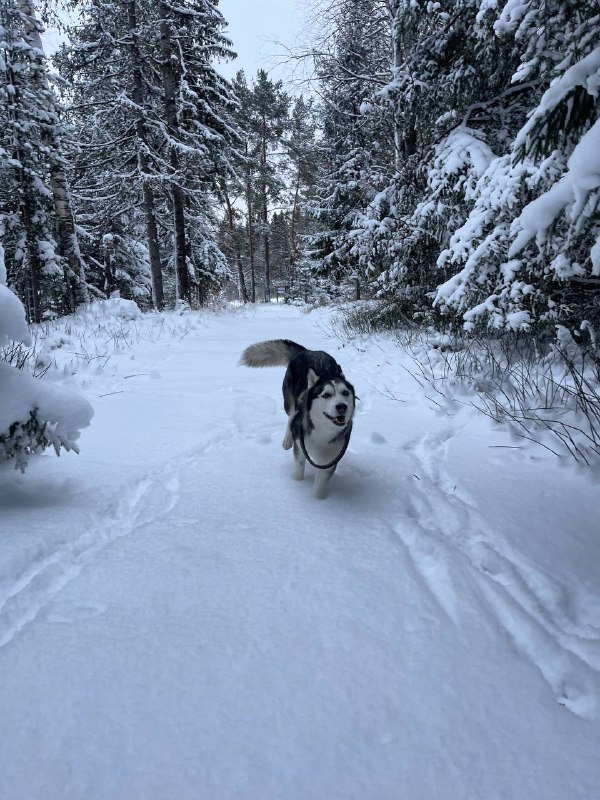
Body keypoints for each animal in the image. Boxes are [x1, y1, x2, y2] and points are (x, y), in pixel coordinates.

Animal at [240, 340, 356, 500]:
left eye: (345, 393)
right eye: (326, 395)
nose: (342, 407)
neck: (322, 431)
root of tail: (307, 351)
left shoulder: (330, 460)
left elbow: (320, 487)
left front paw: (318, 502)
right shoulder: (300, 449)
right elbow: (298, 474)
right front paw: (296, 486)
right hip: (290, 402)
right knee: (291, 417)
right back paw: (287, 439)